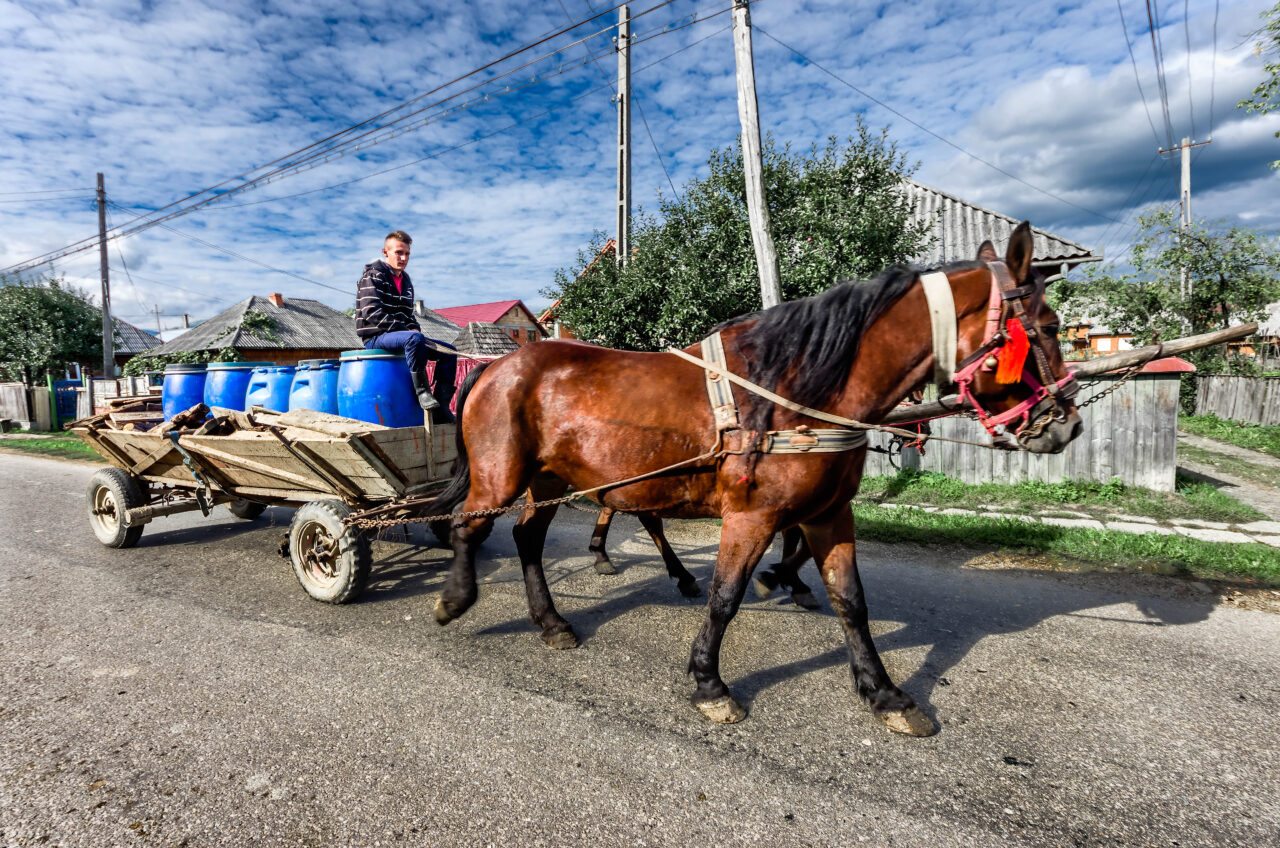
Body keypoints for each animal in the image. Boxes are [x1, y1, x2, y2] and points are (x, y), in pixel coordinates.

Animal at [427, 225, 1080, 737]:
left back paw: (552, 622)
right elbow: (726, 597)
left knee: (528, 538)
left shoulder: (828, 513)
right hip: (503, 477)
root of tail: (497, 366)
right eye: (1047, 327)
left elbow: (852, 601)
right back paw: (456, 597)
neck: (798, 391)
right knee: (466, 525)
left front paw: (883, 692)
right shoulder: (752, 516)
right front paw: (710, 682)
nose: (1067, 424)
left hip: (550, 481)